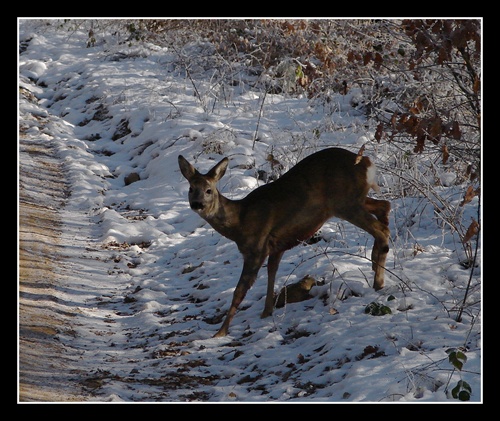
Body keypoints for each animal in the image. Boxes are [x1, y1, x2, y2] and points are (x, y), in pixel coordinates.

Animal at [178, 146, 392, 336]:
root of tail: (366, 162)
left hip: (345, 202)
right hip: (355, 200)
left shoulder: (256, 247)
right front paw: (266, 312)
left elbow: (239, 291)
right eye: (191, 188)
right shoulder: (276, 246)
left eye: (208, 190)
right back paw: (375, 262)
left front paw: (220, 333)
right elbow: (272, 274)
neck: (240, 222)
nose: (197, 204)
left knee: (381, 229)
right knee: (385, 207)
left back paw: (378, 282)